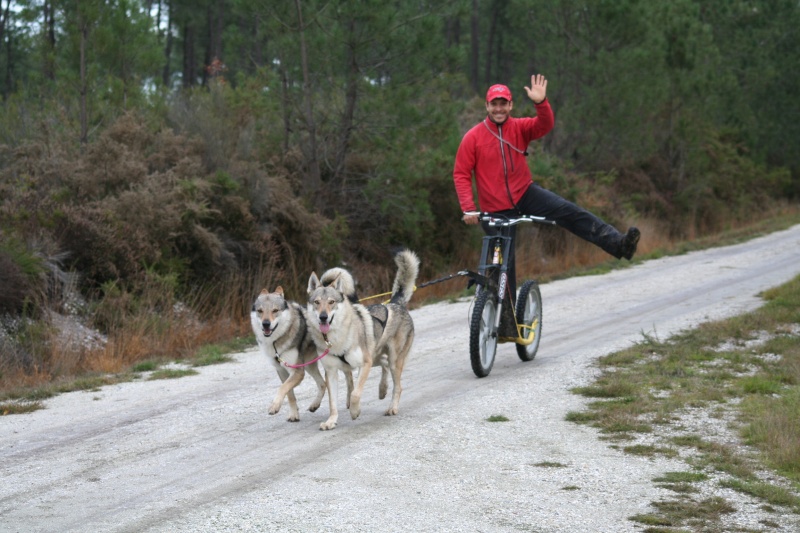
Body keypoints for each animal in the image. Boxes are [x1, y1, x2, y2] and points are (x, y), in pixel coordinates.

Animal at [250, 286, 324, 420]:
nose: (266, 324)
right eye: (260, 311)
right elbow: (289, 394)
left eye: (275, 310)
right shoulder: (282, 371)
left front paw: (274, 406)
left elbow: (282, 388)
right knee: (323, 384)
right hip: (310, 366)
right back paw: (314, 405)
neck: (275, 342)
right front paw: (294, 415)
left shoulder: (298, 372)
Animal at [304, 251, 418, 430]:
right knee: (384, 367)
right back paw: (382, 390)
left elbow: (355, 393)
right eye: (316, 302)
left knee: (398, 387)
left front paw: (354, 412)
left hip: (392, 361)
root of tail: (395, 303)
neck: (336, 339)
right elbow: (332, 403)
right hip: (376, 358)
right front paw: (331, 422)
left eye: (331, 302)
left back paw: (392, 408)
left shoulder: (364, 364)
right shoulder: (331, 372)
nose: (323, 317)